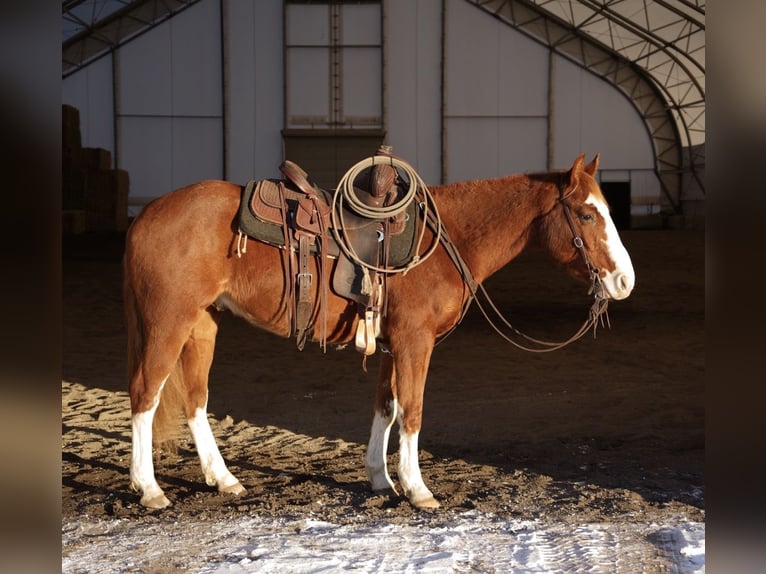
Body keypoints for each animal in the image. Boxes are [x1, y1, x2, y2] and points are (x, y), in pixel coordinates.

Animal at [123, 153, 635, 510]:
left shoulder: (393, 345)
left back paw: (224, 479)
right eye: (587, 215)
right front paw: (418, 489)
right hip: (168, 322)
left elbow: (386, 408)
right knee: (146, 394)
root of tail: (146, 215)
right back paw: (149, 489)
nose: (624, 281)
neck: (442, 240)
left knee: (195, 399)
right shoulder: (414, 341)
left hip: (201, 324)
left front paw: (380, 479)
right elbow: (412, 412)